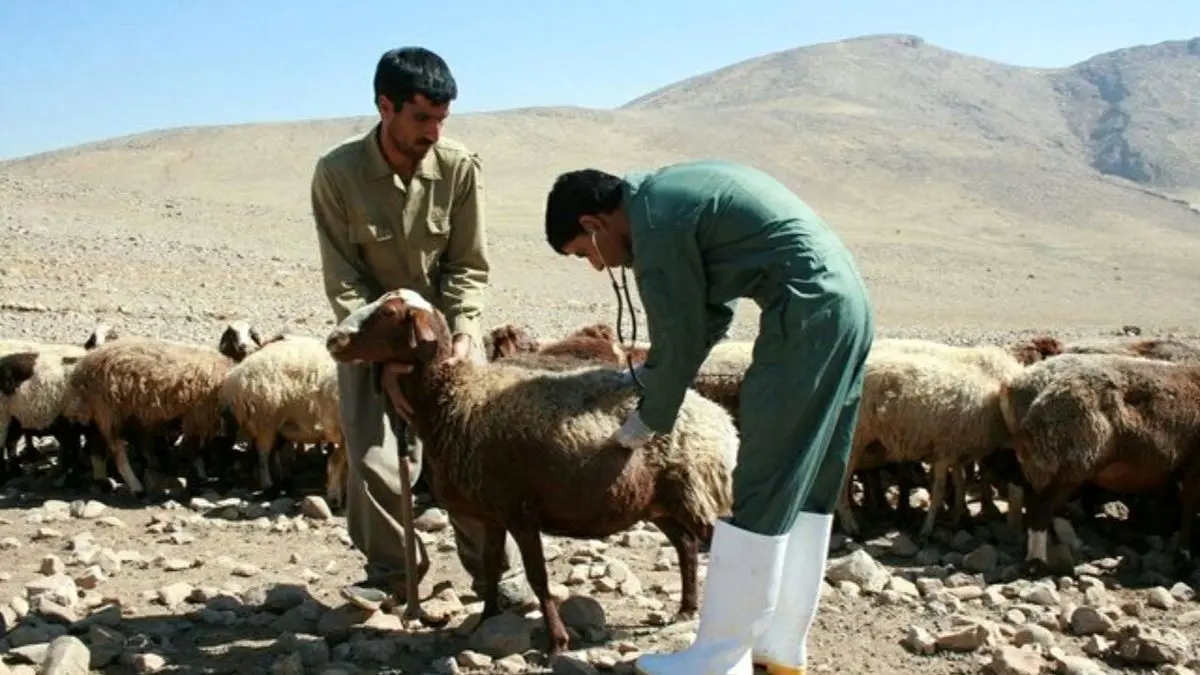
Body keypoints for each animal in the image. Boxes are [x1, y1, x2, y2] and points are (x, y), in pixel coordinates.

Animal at [62, 336, 235, 494]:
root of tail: (82, 368)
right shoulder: (198, 416)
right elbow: (193, 448)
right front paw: (201, 472)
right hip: (109, 412)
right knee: (118, 453)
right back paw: (136, 486)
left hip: (101, 415)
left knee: (97, 446)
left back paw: (104, 478)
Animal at [328, 285, 739, 653]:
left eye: (388, 313)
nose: (334, 339)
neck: (454, 397)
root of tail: (720, 418)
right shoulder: (492, 513)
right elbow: (491, 567)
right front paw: (486, 619)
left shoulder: (520, 512)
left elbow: (539, 578)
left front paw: (557, 641)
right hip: (658, 503)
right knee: (686, 545)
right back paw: (686, 608)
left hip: (697, 493)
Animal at [993, 353, 1200, 571]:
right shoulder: (1194, 467)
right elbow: (1189, 509)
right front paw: (1184, 554)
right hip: (1067, 462)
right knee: (1040, 507)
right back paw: (1037, 560)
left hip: (1043, 460)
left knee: (1025, 490)